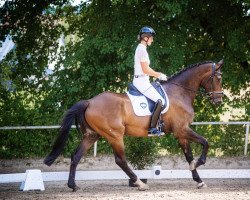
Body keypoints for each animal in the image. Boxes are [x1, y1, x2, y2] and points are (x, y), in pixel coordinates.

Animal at [44, 59, 224, 191]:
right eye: (218, 78)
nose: (219, 100)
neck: (180, 92)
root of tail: (89, 101)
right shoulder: (182, 130)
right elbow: (205, 142)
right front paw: (198, 164)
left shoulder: (181, 133)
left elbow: (189, 156)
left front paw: (199, 180)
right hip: (115, 135)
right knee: (120, 160)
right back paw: (139, 182)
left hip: (92, 135)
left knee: (76, 156)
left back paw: (73, 185)